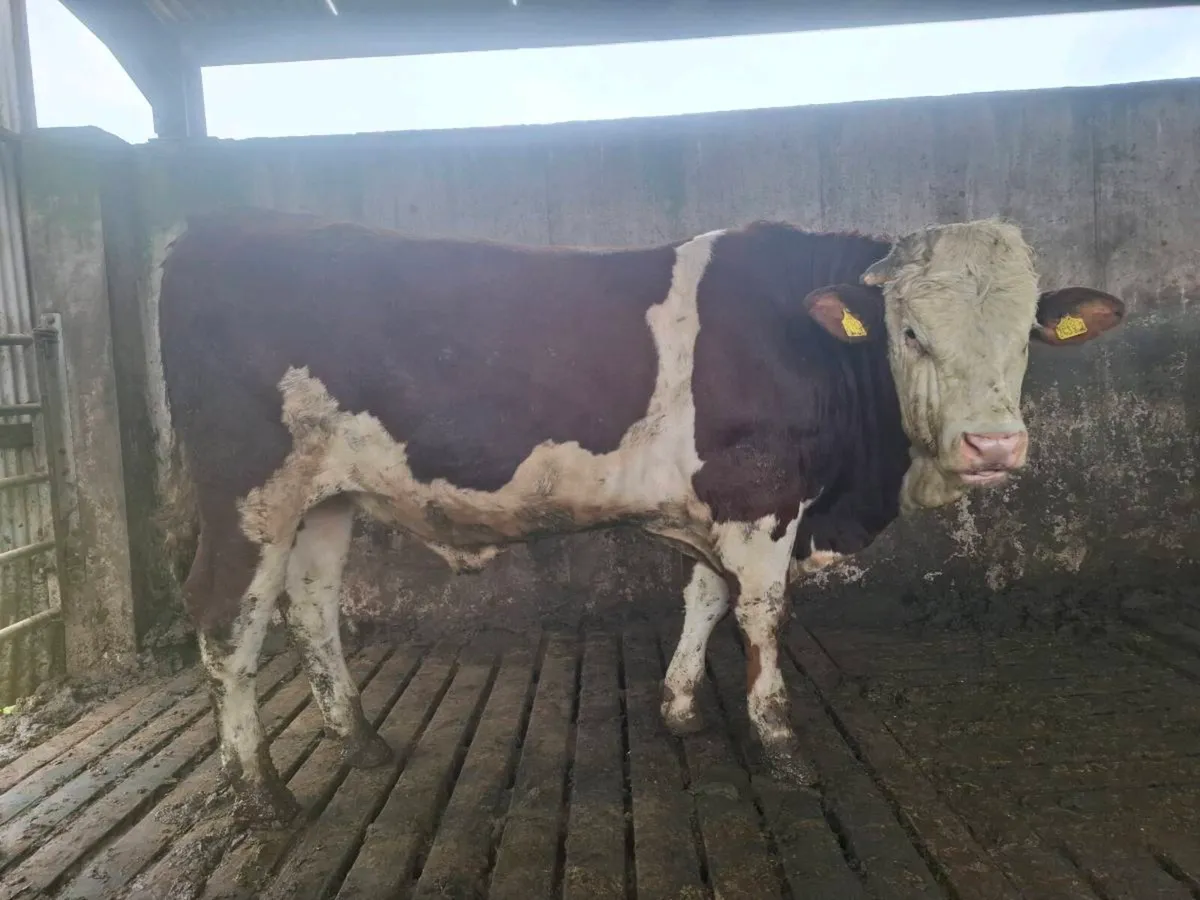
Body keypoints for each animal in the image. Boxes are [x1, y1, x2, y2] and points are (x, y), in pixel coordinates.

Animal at [157, 208, 1125, 825]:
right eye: (912, 334)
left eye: (1025, 338)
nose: (994, 444)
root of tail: (216, 227)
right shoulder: (763, 498)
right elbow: (761, 617)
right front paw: (782, 746)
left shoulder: (721, 500)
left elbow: (704, 598)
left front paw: (680, 708)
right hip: (249, 490)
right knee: (226, 621)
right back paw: (261, 794)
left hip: (324, 499)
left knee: (311, 606)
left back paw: (358, 739)